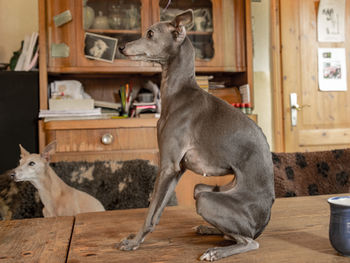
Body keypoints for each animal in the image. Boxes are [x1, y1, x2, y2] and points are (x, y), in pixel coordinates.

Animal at [119, 9, 274, 262]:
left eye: (150, 33)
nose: (122, 47)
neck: (179, 93)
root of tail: (262, 224)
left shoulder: (168, 165)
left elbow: (150, 210)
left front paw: (134, 242)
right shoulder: (177, 170)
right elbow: (157, 212)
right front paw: (137, 238)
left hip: (207, 200)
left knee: (249, 241)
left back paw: (216, 251)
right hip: (201, 189)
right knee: (231, 233)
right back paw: (208, 229)